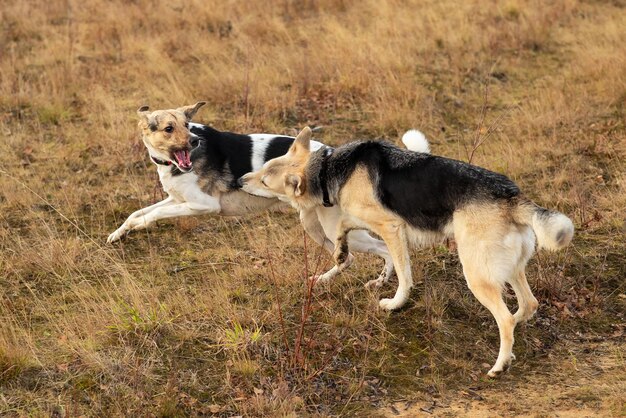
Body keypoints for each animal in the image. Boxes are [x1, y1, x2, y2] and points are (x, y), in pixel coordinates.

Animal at [107, 103, 428, 286]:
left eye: (187, 125)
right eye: (169, 128)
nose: (195, 141)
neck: (171, 164)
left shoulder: (203, 205)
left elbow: (153, 215)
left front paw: (138, 227)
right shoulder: (177, 199)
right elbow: (137, 212)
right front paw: (118, 234)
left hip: (332, 229)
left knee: (382, 248)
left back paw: (381, 282)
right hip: (316, 228)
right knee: (349, 259)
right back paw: (329, 280)